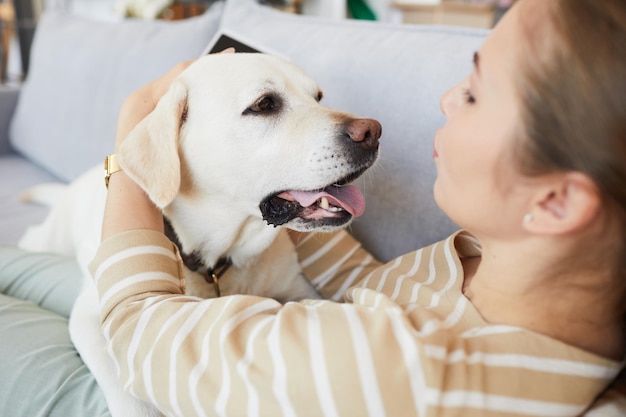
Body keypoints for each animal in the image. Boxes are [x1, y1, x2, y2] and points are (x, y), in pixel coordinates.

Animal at [18, 52, 380, 416]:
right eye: (264, 104)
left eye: (318, 97)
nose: (372, 132)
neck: (218, 257)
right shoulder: (90, 317)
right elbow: (129, 395)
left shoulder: (299, 289)